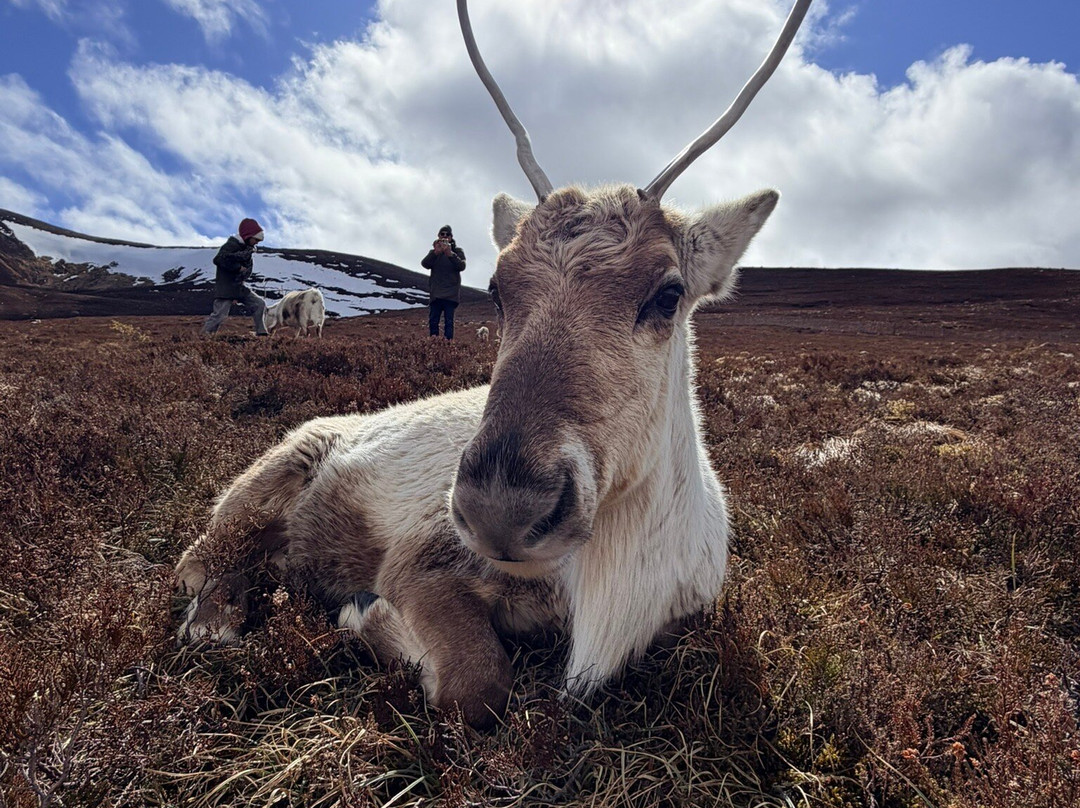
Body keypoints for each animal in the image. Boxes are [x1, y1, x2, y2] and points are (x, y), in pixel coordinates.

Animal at [175, 0, 812, 729]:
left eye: (668, 292)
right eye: (497, 287)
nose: (500, 509)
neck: (617, 591)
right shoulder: (421, 563)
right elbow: (474, 683)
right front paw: (362, 616)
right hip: (267, 478)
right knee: (196, 563)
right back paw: (215, 619)